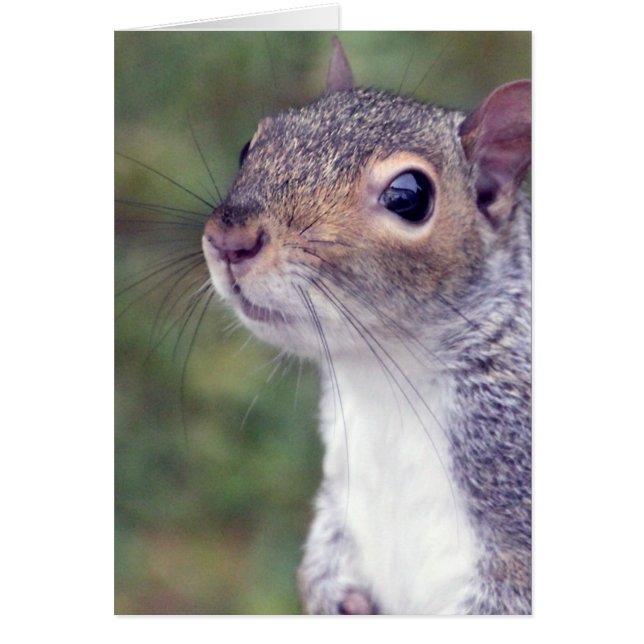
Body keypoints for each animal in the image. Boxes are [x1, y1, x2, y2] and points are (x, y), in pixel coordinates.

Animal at [202, 38, 531, 615]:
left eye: (409, 195)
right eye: (250, 145)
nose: (229, 240)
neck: (385, 379)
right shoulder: (340, 485)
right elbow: (327, 541)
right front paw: (330, 595)